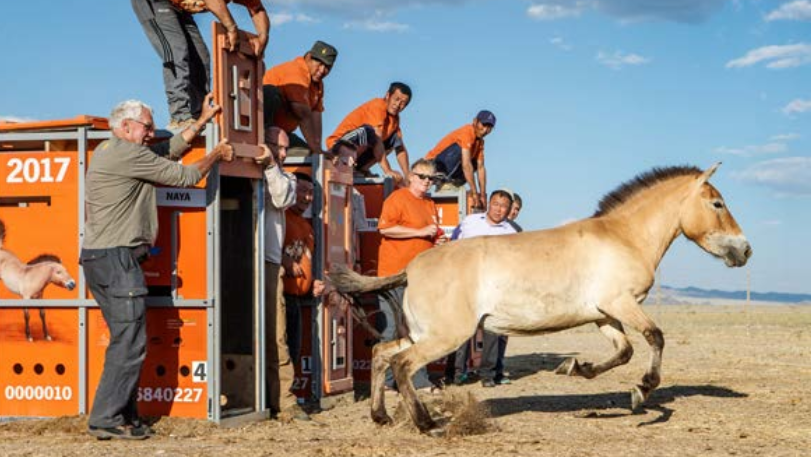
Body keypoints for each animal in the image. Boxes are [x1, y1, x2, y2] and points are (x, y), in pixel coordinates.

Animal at [330, 164, 756, 434]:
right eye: (717, 204)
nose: (745, 250)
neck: (623, 237)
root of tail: (413, 267)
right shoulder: (622, 305)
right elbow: (655, 338)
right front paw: (642, 390)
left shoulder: (605, 315)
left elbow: (623, 352)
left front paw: (577, 369)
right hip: (445, 337)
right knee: (402, 365)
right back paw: (427, 425)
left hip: (422, 333)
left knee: (381, 354)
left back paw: (381, 417)